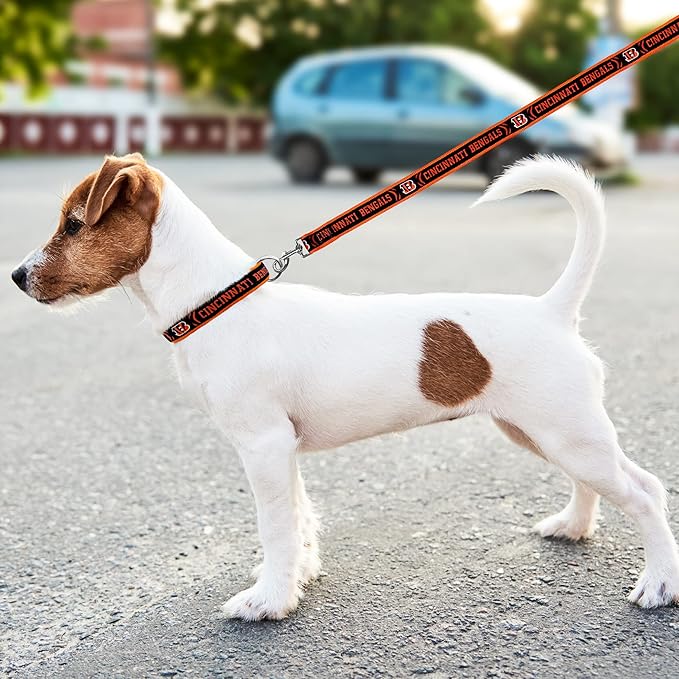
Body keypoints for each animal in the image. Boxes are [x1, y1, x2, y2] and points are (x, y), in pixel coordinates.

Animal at [11, 154, 679, 620]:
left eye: (73, 224)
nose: (16, 277)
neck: (218, 302)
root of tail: (552, 310)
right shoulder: (282, 450)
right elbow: (300, 516)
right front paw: (299, 577)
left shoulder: (262, 447)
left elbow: (275, 528)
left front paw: (269, 600)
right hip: (541, 431)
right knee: (596, 484)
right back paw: (573, 526)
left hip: (569, 433)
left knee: (647, 492)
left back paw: (659, 583)